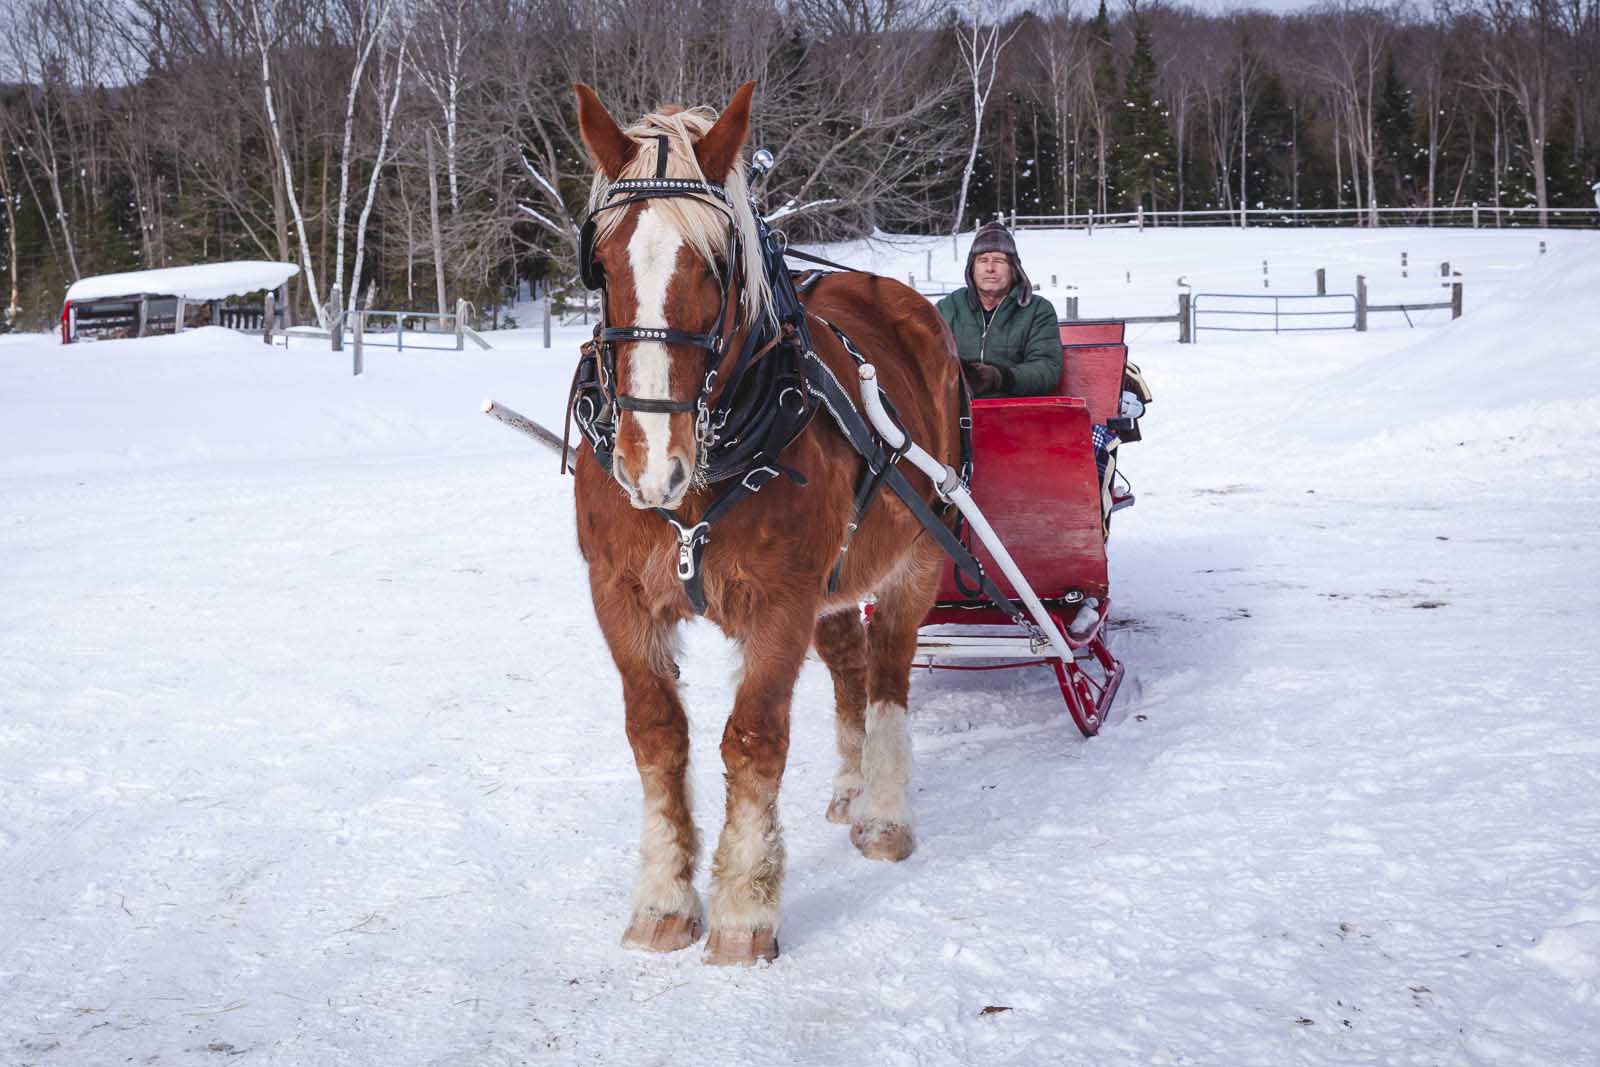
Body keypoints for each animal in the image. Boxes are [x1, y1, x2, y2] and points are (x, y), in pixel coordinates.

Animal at [576, 83, 960, 966]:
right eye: (601, 265)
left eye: (717, 266)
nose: (651, 463)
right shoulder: (619, 594)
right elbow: (656, 733)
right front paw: (663, 900)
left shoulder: (781, 600)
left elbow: (752, 738)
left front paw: (745, 909)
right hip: (838, 576)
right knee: (851, 665)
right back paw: (851, 786)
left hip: (919, 555)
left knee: (889, 670)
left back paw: (884, 812)